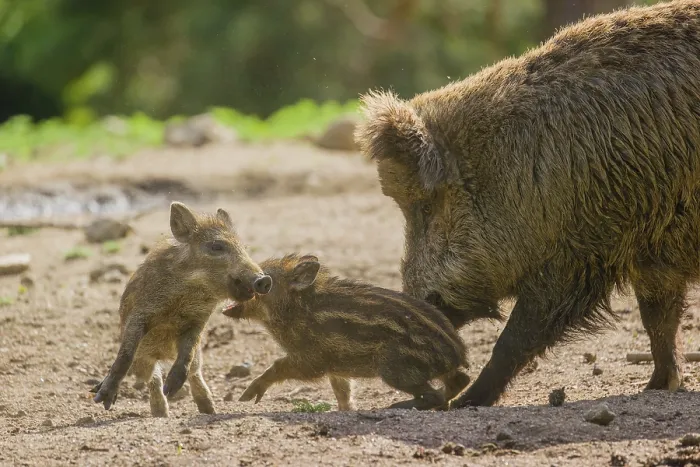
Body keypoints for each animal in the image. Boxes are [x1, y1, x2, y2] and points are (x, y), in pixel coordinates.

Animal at [91, 201, 272, 417]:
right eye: (216, 246)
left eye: (244, 248)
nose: (264, 279)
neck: (188, 292)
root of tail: (163, 353)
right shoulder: (140, 316)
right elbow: (125, 356)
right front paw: (101, 399)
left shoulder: (197, 322)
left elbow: (187, 356)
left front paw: (172, 388)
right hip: (143, 360)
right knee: (152, 377)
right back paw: (160, 411)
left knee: (193, 372)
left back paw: (208, 410)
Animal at [222, 254, 470, 411]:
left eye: (265, 280)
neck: (294, 310)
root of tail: (457, 353)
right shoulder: (336, 368)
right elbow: (343, 391)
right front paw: (345, 410)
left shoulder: (312, 360)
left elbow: (278, 367)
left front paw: (246, 397)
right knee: (460, 381)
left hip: (394, 369)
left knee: (434, 394)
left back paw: (397, 405)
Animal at [354, 0, 700, 407]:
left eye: (426, 207)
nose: (416, 309)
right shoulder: (652, 253)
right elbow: (658, 319)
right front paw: (658, 385)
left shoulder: (577, 257)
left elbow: (516, 338)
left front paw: (466, 402)